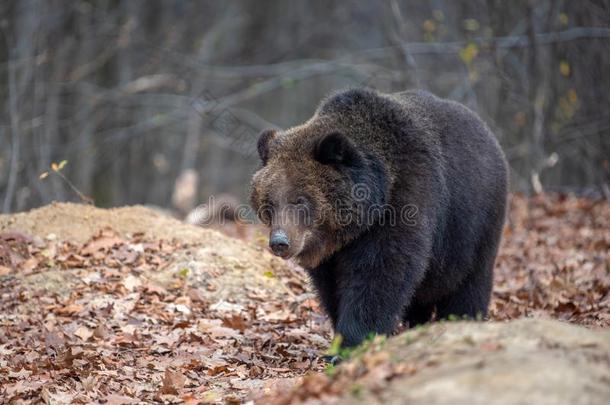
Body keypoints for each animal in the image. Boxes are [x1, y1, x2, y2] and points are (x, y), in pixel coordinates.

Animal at [249, 88, 506, 348]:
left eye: (299, 199)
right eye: (268, 202)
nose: (280, 242)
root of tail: (486, 131)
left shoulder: (405, 202)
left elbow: (379, 274)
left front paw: (351, 340)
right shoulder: (330, 254)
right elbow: (332, 287)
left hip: (475, 224)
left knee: (470, 282)